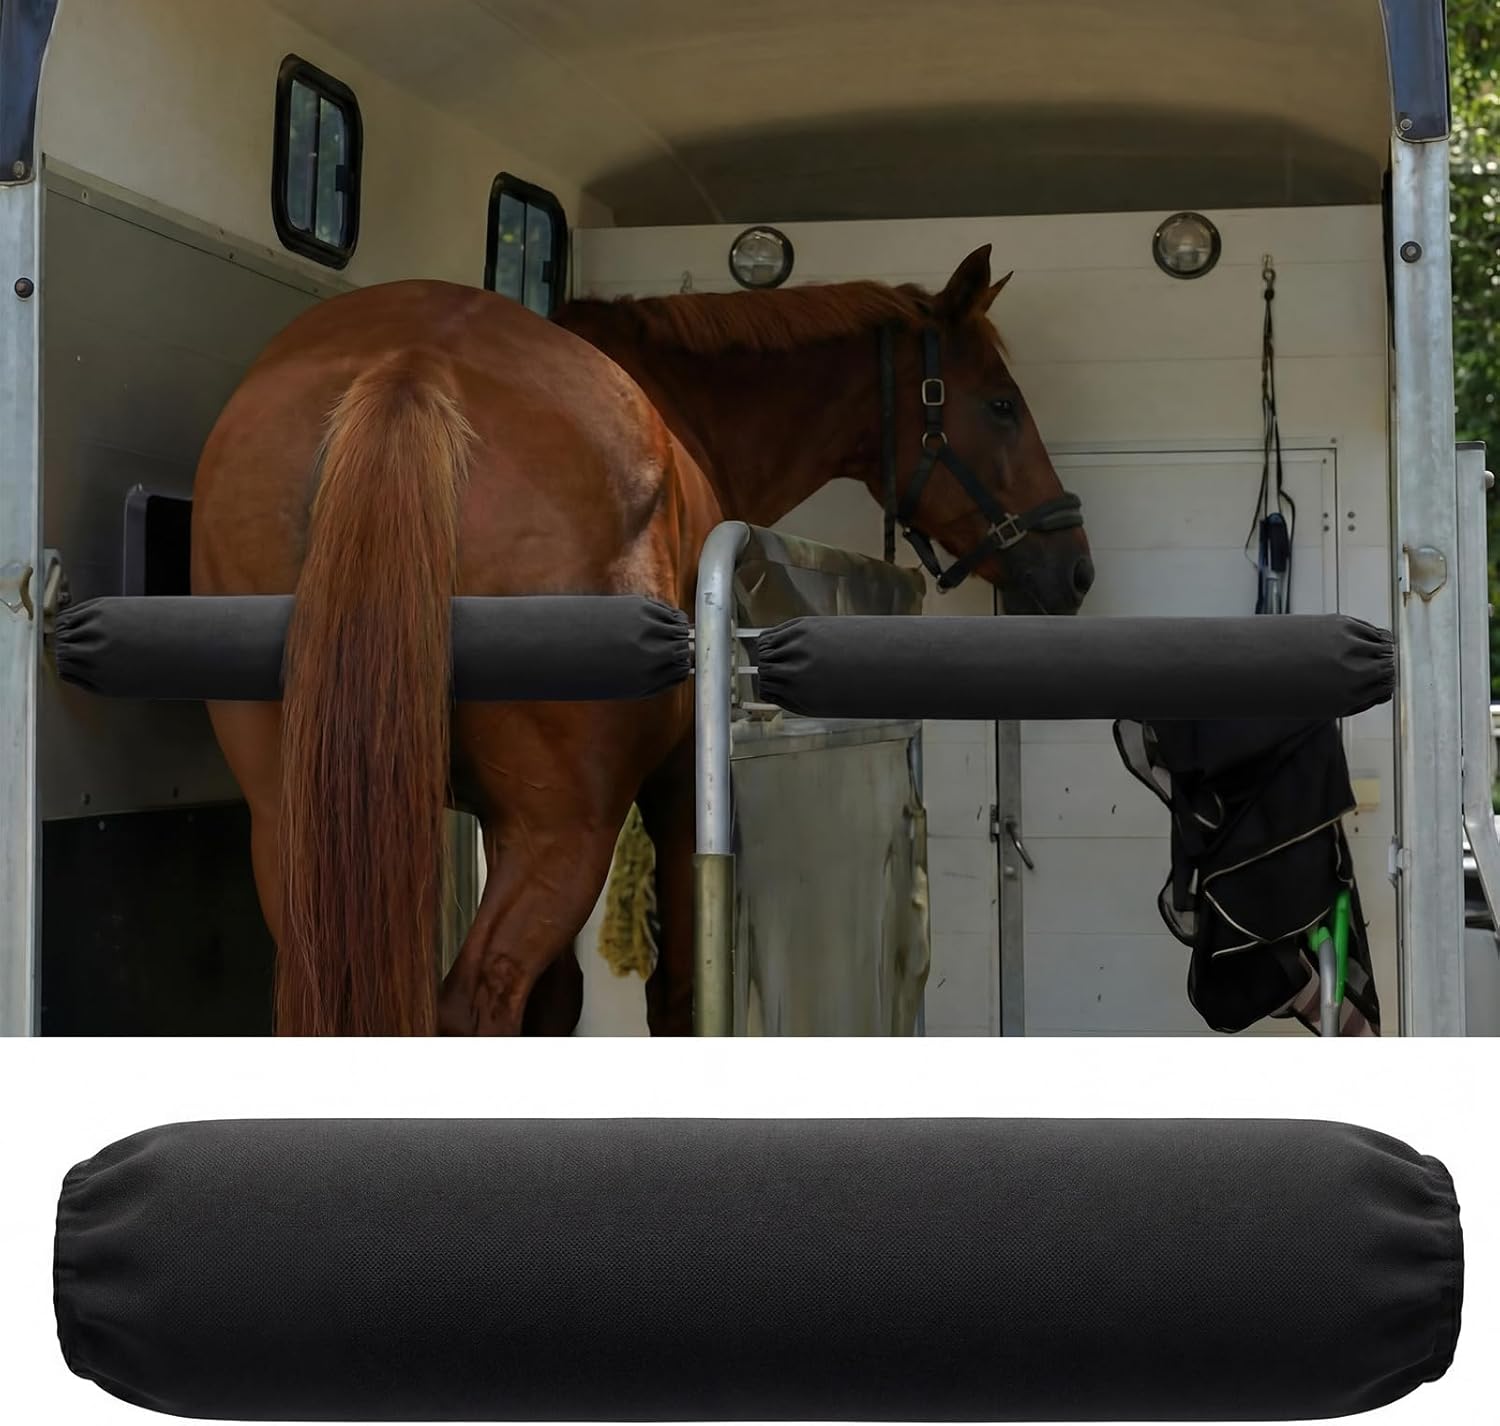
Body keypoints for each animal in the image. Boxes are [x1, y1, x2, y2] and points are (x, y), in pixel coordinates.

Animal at [190, 244, 1092, 1036]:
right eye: (1001, 403)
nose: (1075, 567)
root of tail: (411, 369)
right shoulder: (675, 795)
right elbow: (678, 994)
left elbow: (557, 1002)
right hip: (565, 835)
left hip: (297, 833)